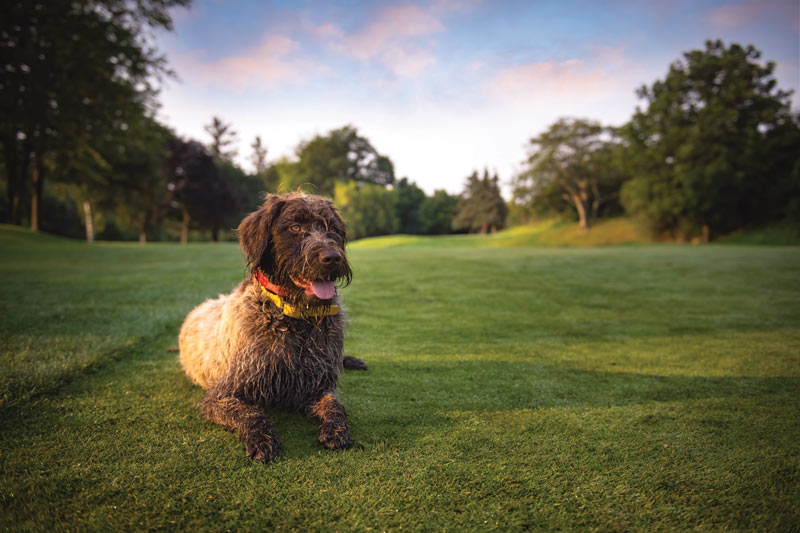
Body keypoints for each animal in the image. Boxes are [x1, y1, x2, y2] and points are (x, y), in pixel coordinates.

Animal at [179, 192, 366, 462]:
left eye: (332, 228)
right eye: (295, 227)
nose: (332, 257)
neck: (294, 319)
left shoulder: (317, 386)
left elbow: (334, 405)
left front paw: (336, 428)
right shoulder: (222, 395)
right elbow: (251, 414)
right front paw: (262, 439)